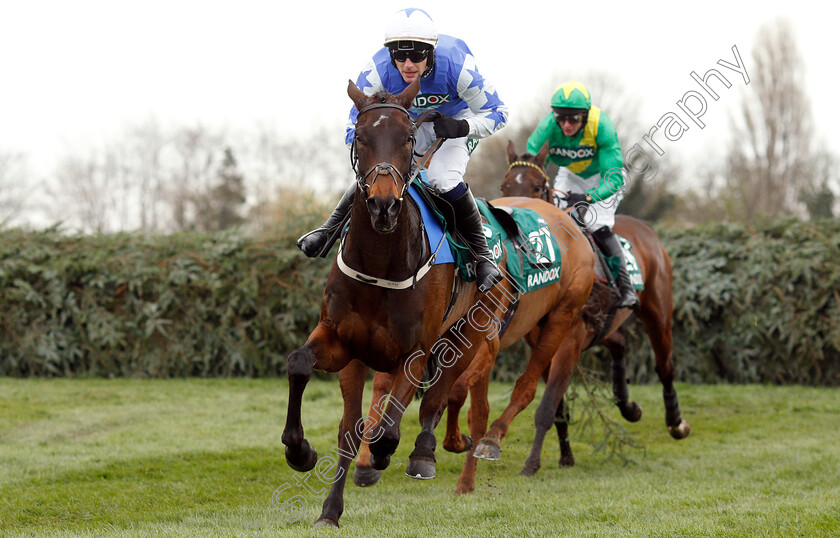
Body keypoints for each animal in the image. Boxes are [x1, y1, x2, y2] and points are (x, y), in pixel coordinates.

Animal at [280, 79, 592, 524]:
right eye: (360, 137)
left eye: (409, 139)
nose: (383, 204)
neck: (380, 264)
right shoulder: (343, 341)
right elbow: (305, 372)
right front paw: (307, 463)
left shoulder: (414, 352)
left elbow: (393, 425)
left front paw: (389, 454)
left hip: (484, 332)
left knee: (454, 395)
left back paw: (432, 452)